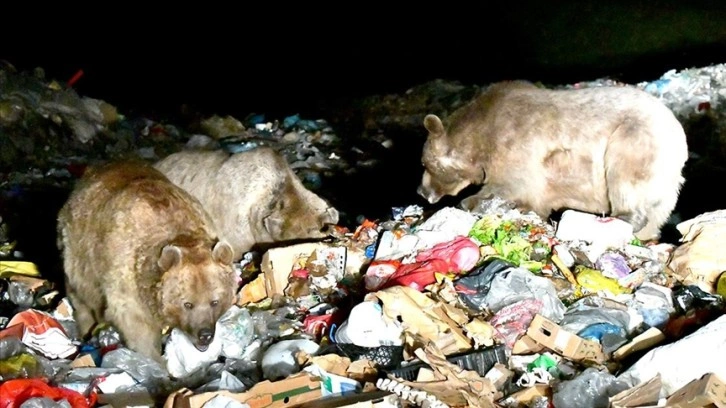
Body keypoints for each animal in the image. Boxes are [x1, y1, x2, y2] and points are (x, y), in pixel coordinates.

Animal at [59, 161, 239, 362]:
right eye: (187, 304)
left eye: (215, 301)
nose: (205, 335)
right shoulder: (125, 271)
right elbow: (137, 326)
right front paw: (156, 360)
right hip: (78, 251)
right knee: (82, 293)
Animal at [418, 81, 692, 241]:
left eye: (424, 163)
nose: (421, 191)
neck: (478, 136)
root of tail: (680, 139)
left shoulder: (515, 143)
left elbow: (512, 184)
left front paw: (472, 202)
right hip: (667, 184)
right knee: (656, 213)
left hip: (634, 140)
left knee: (626, 178)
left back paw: (618, 219)